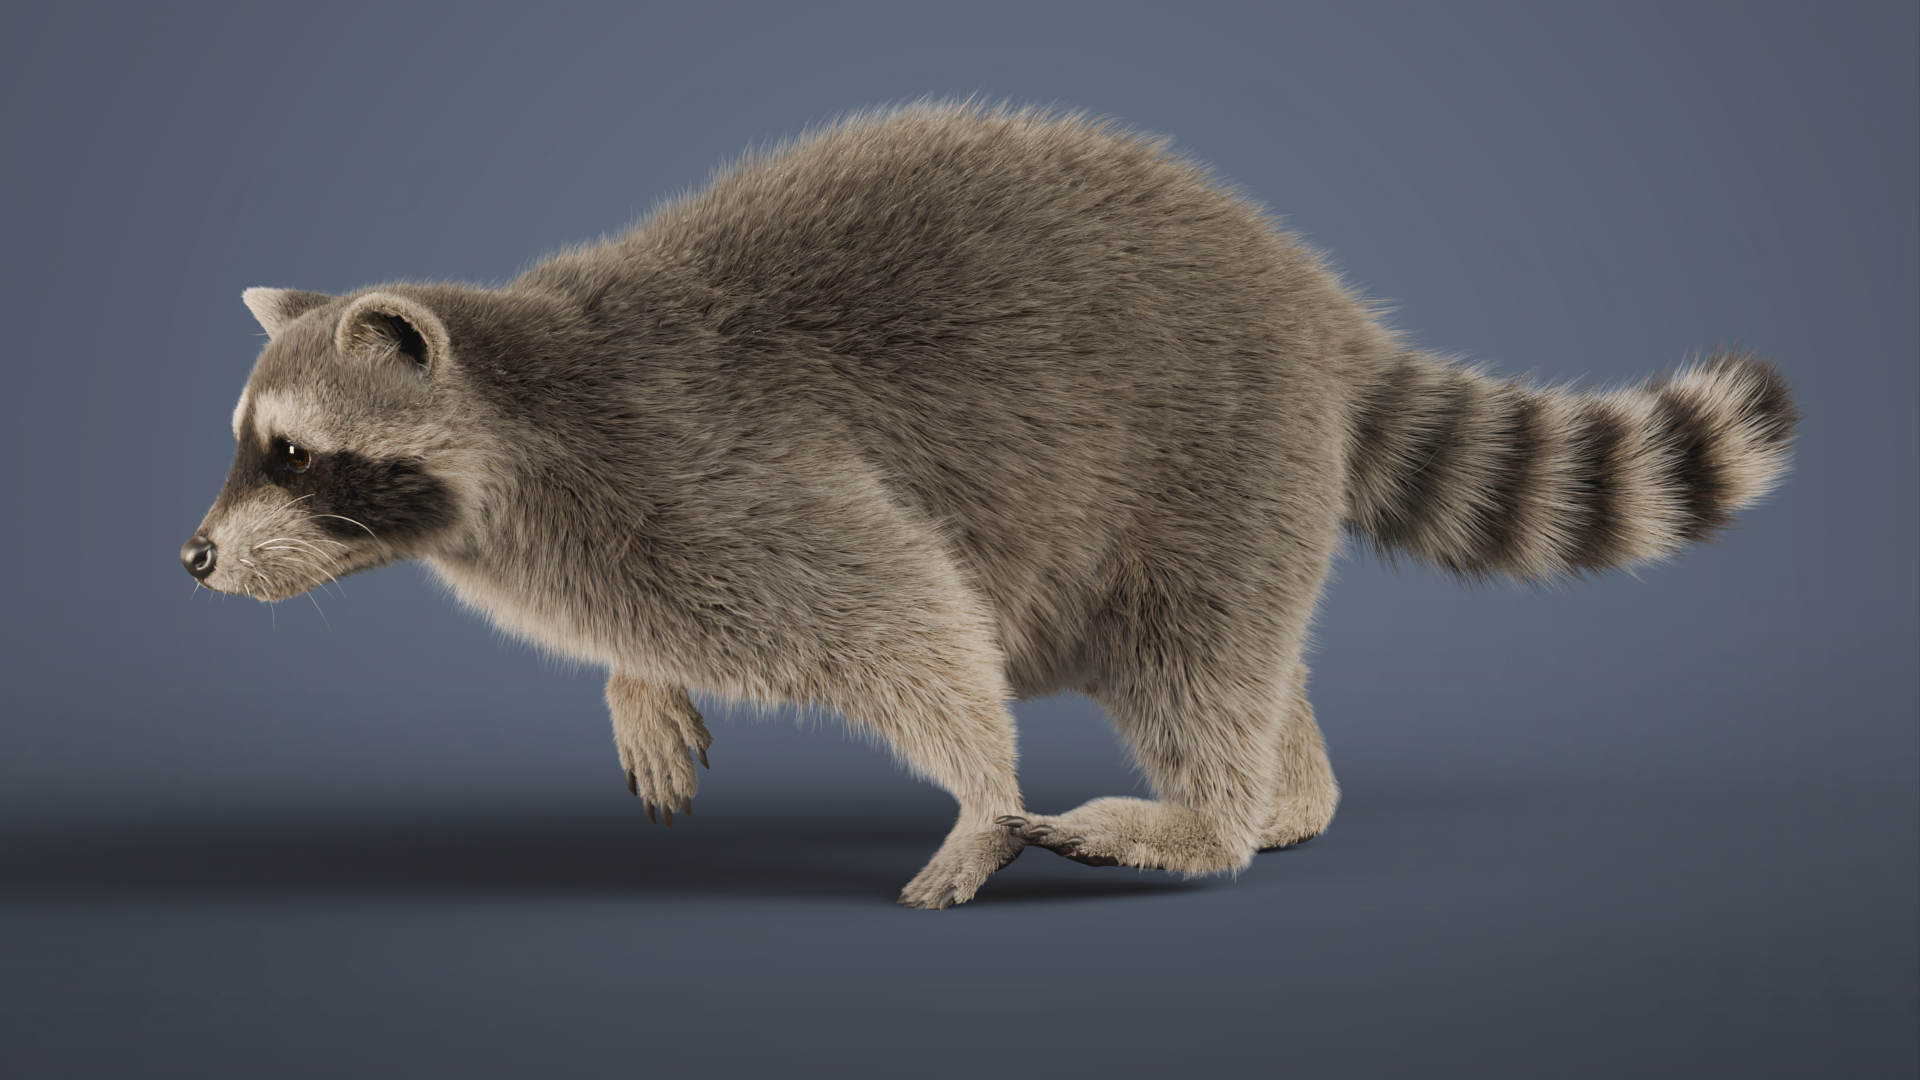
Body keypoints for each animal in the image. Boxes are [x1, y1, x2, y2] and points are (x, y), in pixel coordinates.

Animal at [182, 103, 1797, 908]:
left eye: (293, 455)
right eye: (249, 445)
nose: (192, 556)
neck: (520, 401)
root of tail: (1316, 301)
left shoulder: (707, 466)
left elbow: (900, 607)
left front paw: (980, 795)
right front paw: (636, 687)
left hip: (1208, 452)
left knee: (1196, 651)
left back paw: (1210, 817)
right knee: (1244, 654)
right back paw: (1289, 792)